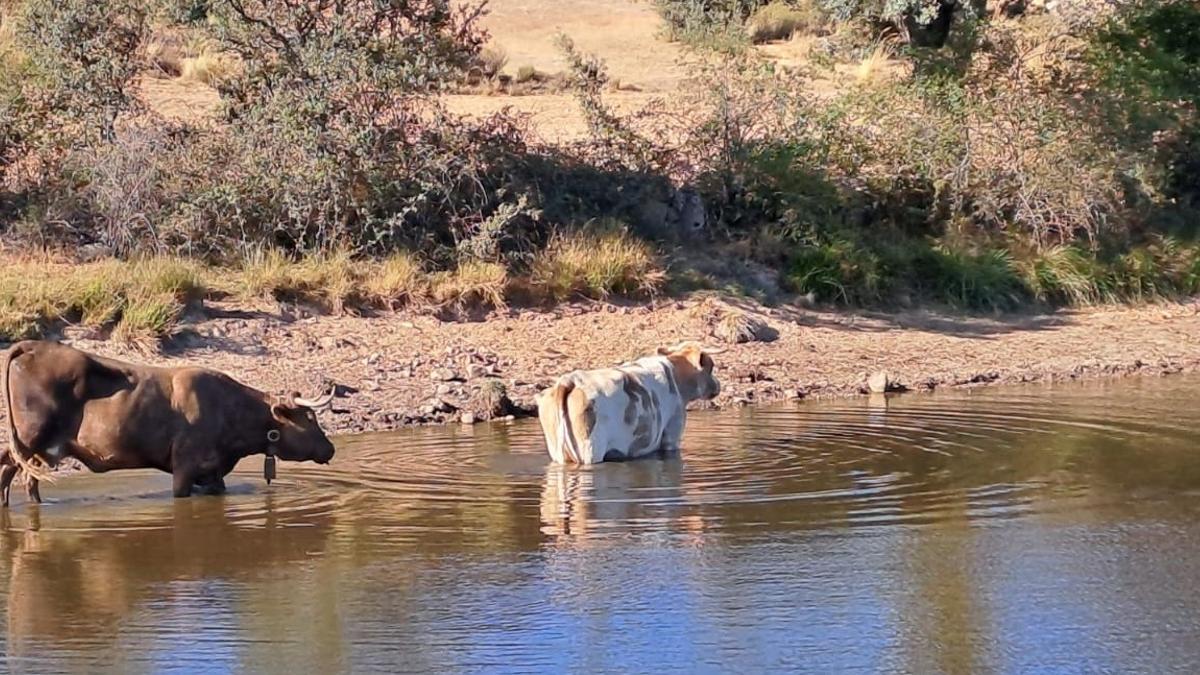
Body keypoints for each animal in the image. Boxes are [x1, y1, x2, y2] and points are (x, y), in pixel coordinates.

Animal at [3, 338, 338, 502]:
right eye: (310, 418)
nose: (331, 448)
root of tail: (32, 346)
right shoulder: (184, 469)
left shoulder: (213, 474)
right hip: (33, 439)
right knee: (15, 471)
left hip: (35, 448)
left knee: (14, 472)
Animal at [537, 341, 720, 461]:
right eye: (711, 367)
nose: (718, 385)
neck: (675, 373)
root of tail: (571, 379)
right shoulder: (672, 434)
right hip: (590, 449)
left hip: (558, 452)